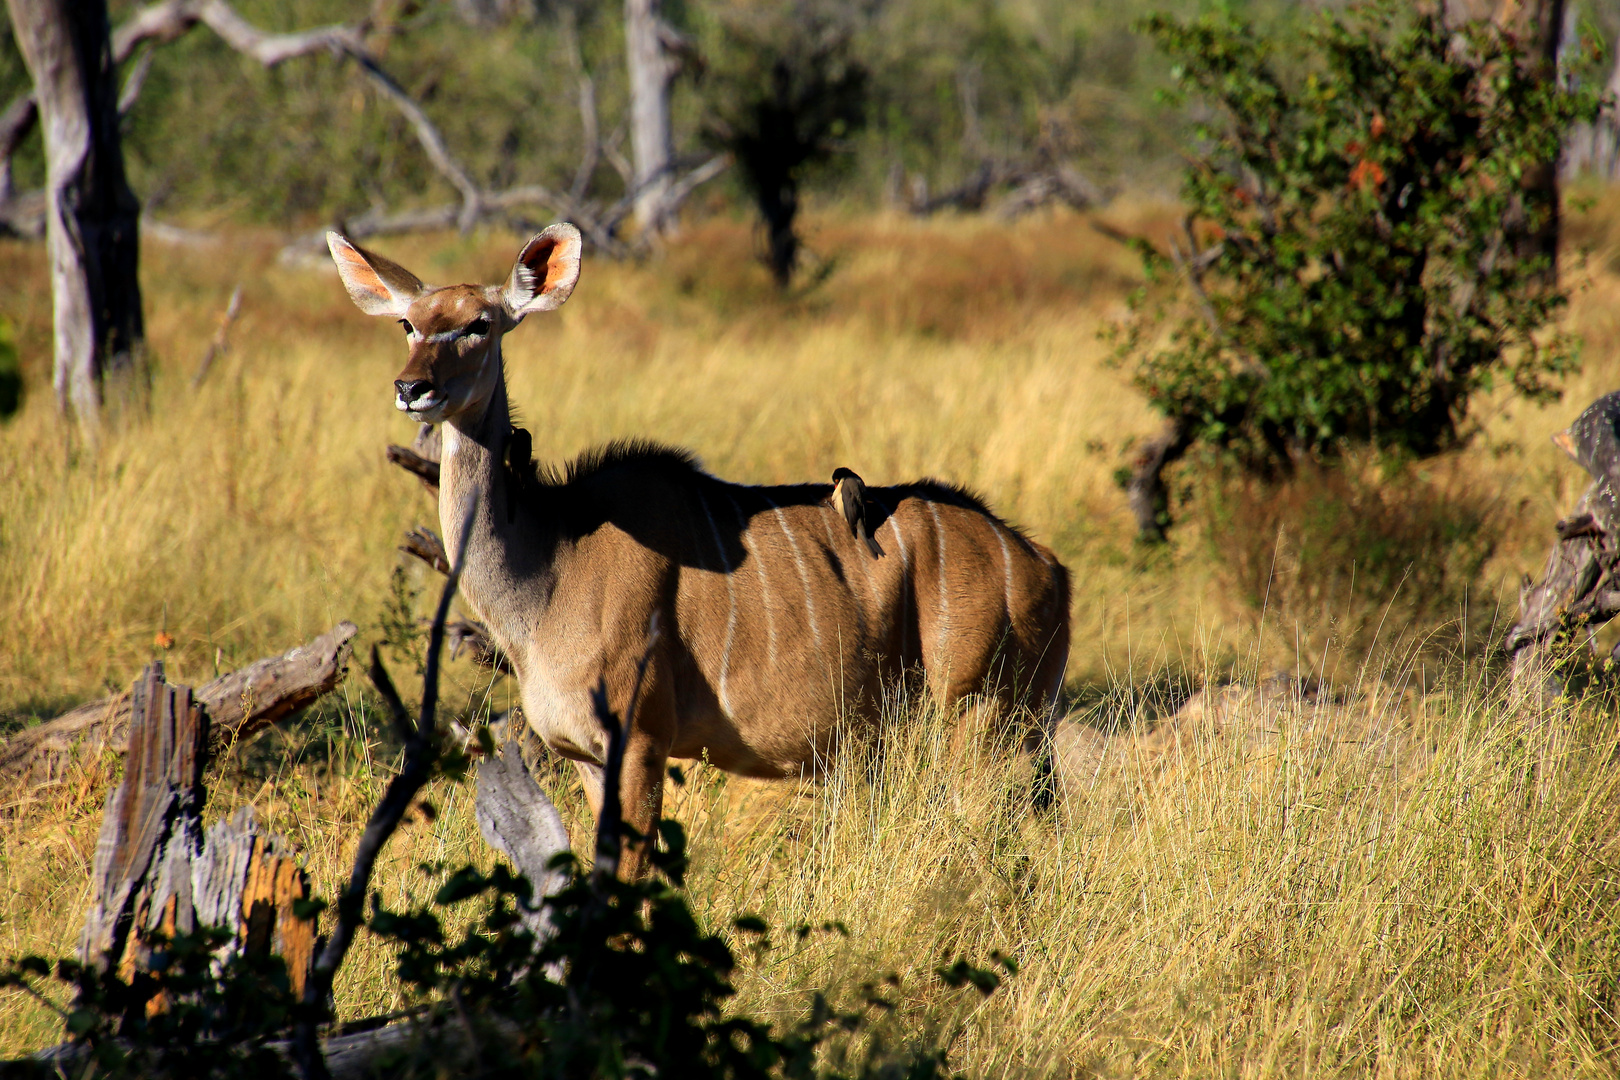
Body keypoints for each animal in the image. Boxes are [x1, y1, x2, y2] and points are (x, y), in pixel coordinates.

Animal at [328, 223, 1069, 874]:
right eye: (408, 324)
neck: (553, 564)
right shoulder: (585, 757)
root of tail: (1046, 566)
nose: (412, 388)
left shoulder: (639, 742)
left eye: (478, 325)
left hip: (979, 722)